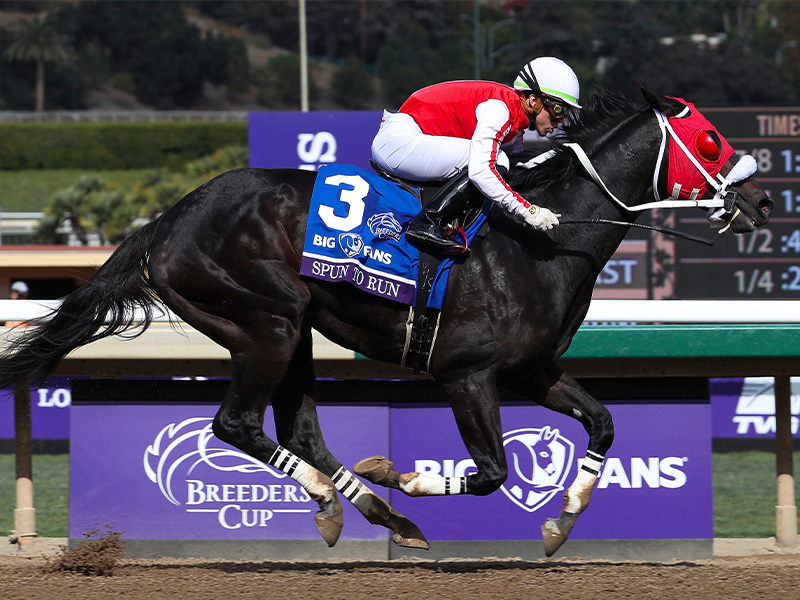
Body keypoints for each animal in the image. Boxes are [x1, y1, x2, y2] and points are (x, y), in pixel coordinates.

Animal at [0, 88, 772, 557]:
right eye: (709, 138)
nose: (761, 202)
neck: (539, 244)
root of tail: (166, 219)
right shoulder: (469, 374)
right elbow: (490, 471)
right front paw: (407, 477)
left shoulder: (532, 370)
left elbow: (605, 425)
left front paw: (559, 522)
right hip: (266, 322)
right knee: (236, 425)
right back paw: (357, 503)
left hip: (293, 330)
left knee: (299, 431)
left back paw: (371, 511)